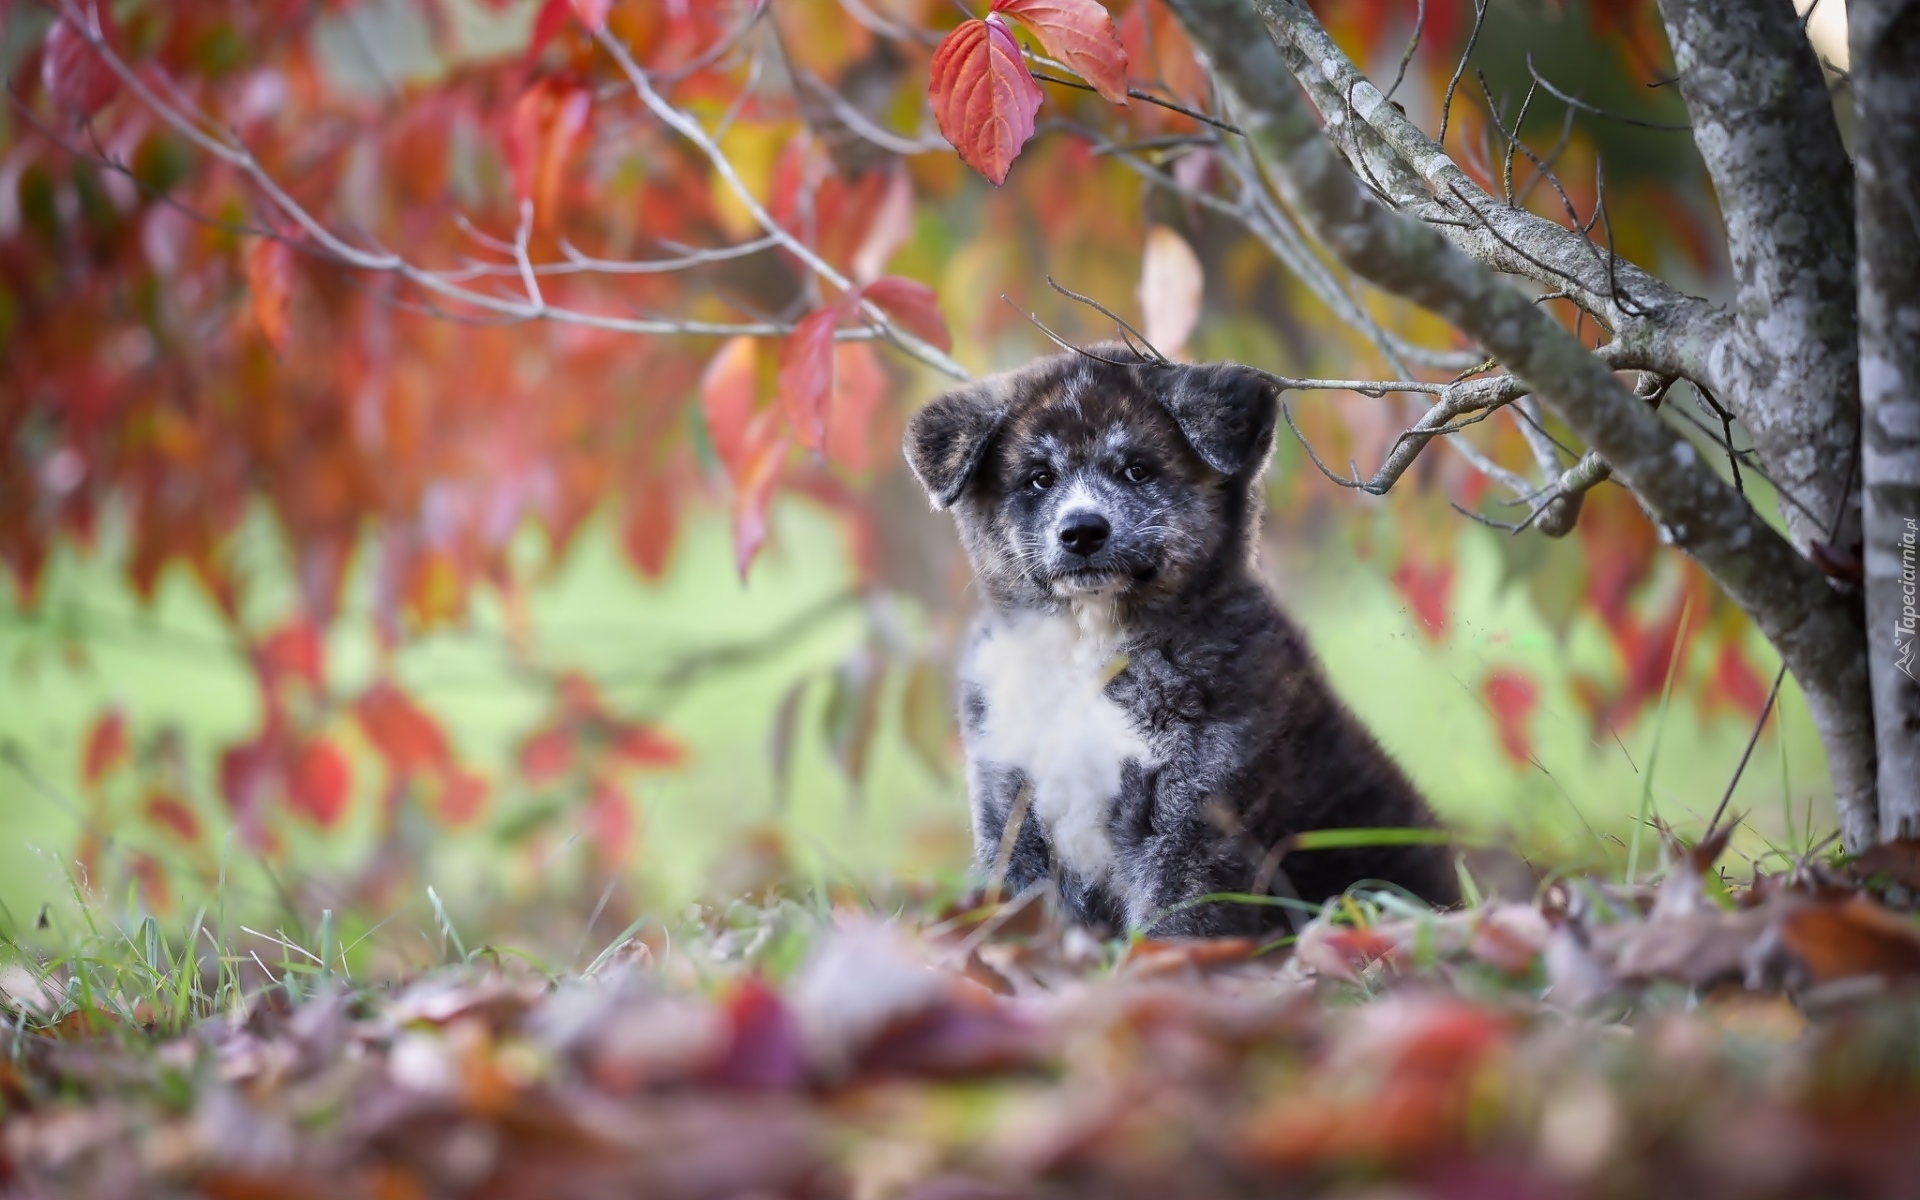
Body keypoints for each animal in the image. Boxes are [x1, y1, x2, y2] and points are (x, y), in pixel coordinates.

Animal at [898, 341, 1451, 933]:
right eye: (1039, 478)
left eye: (1138, 470)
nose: (1082, 532)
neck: (1089, 653)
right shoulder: (1008, 800)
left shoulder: (1196, 814)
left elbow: (1173, 925)